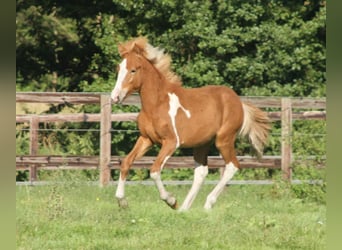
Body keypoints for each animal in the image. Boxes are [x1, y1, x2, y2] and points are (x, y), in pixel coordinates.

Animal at [110, 36, 270, 210]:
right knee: (201, 172)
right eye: (119, 69)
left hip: (224, 139)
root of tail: (238, 102)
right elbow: (126, 162)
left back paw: (206, 205)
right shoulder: (147, 139)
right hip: (202, 143)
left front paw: (171, 201)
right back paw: (184, 209)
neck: (156, 105)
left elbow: (154, 170)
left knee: (232, 166)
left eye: (133, 70)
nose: (115, 97)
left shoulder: (171, 142)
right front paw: (122, 201)